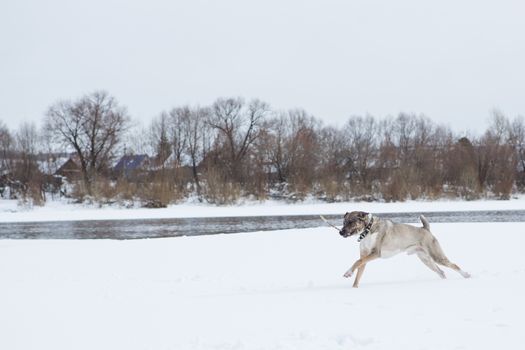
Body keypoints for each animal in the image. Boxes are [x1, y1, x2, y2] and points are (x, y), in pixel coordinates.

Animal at [340, 211, 470, 288]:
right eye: (344, 222)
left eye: (351, 222)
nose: (340, 232)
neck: (368, 229)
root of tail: (425, 229)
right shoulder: (364, 256)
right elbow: (359, 270)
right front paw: (354, 287)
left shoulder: (375, 253)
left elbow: (357, 262)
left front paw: (348, 272)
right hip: (426, 259)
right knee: (441, 272)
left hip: (436, 256)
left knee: (454, 265)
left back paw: (466, 276)